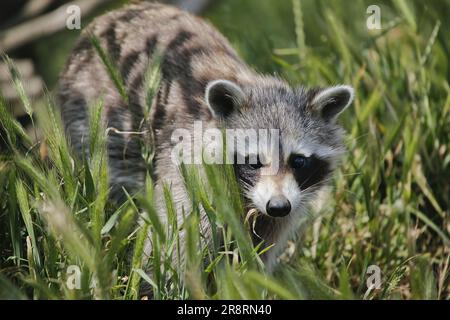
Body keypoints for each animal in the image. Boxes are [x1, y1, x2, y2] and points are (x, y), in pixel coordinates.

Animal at [59, 2, 356, 272]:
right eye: (254, 161)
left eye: (299, 161)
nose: (278, 205)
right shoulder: (190, 171)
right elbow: (173, 238)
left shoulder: (285, 204)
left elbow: (261, 247)